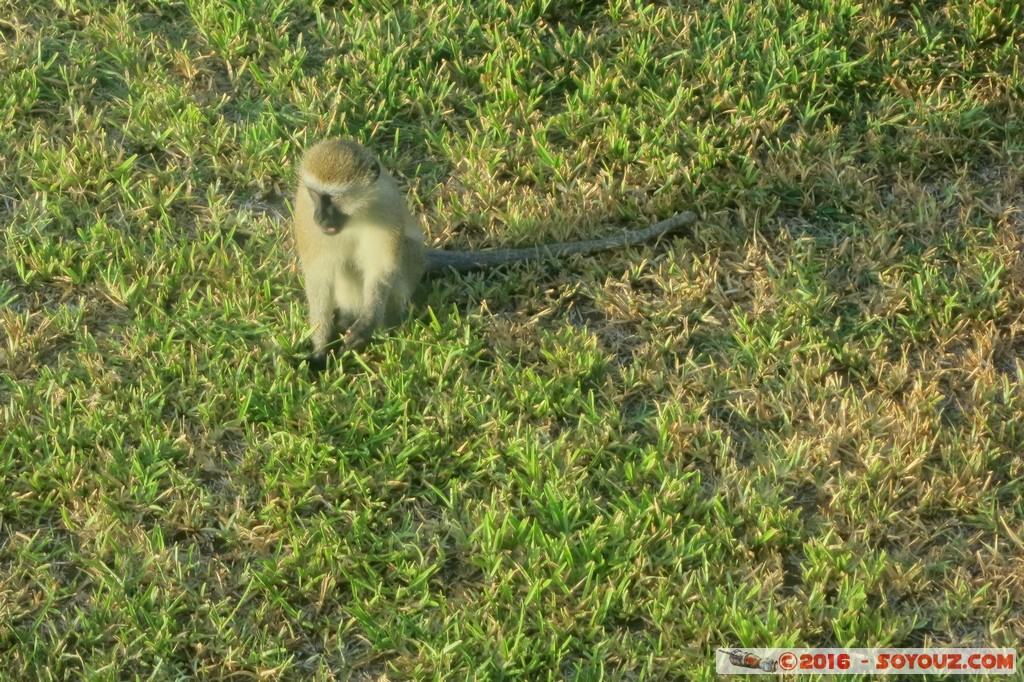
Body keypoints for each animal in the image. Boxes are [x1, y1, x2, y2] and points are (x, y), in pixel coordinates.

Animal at [292, 138, 700, 368]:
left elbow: (381, 269)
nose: (319, 217)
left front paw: (367, 325)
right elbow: (318, 279)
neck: (354, 215)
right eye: (314, 194)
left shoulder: (386, 208)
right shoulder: (304, 218)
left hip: (411, 261)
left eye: (334, 198)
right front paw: (319, 349)